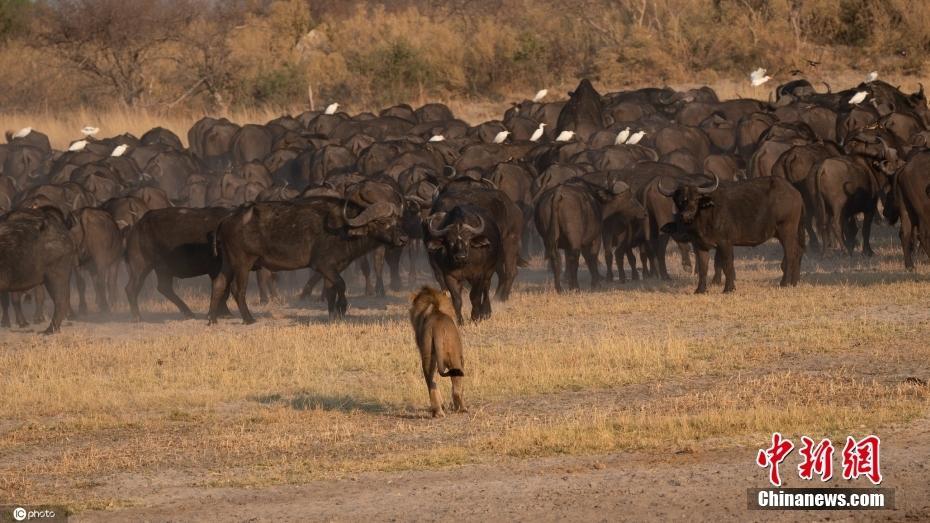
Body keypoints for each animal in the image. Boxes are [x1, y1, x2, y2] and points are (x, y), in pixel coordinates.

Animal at [408, 286, 468, 418]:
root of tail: (437, 327)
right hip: (454, 357)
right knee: (454, 389)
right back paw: (460, 409)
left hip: (428, 355)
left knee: (431, 382)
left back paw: (439, 411)